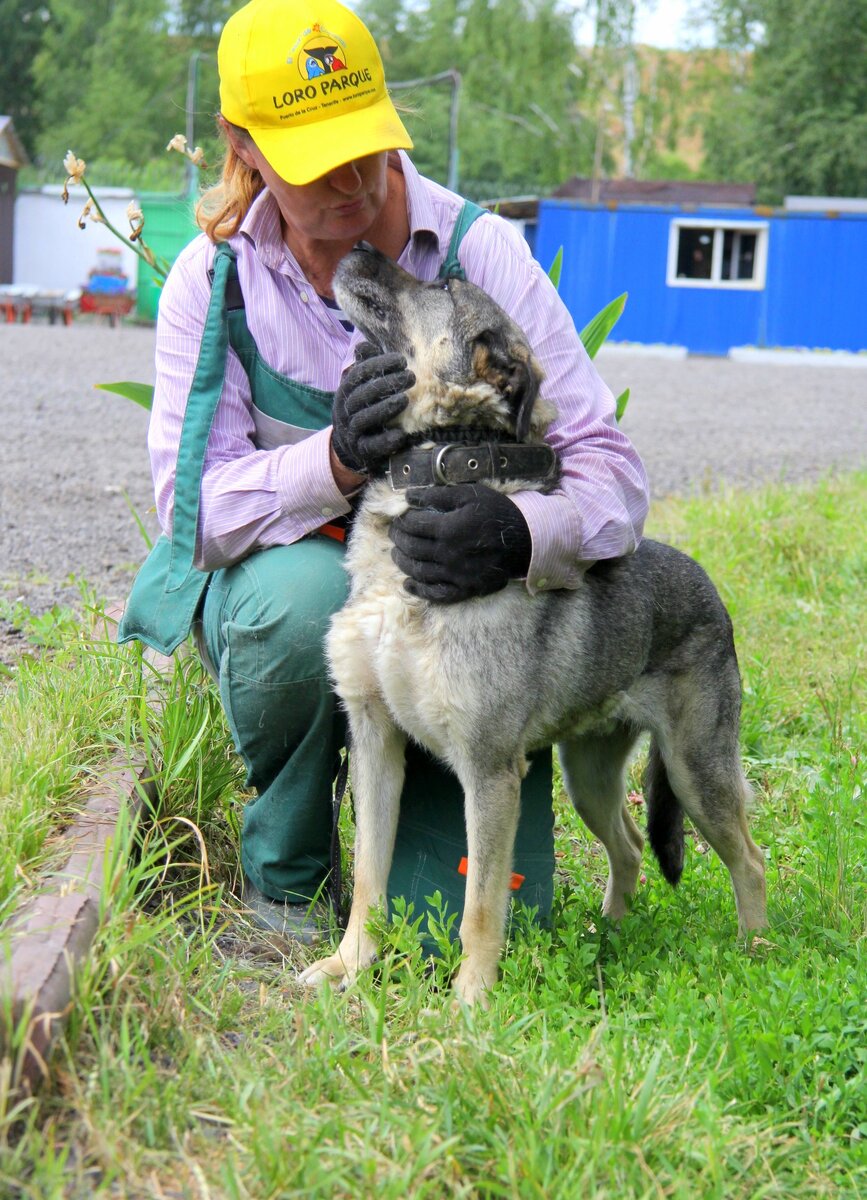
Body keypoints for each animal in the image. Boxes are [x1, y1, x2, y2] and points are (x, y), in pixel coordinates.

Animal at [299, 241, 763, 1003]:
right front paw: (349, 966)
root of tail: (710, 591)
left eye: (443, 283)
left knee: (747, 860)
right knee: (630, 845)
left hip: (697, 771)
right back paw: (610, 935)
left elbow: (481, 907)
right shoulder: (375, 743)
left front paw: (469, 1002)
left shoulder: (488, 772)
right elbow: (367, 876)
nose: (360, 248)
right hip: (589, 775)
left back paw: (755, 955)